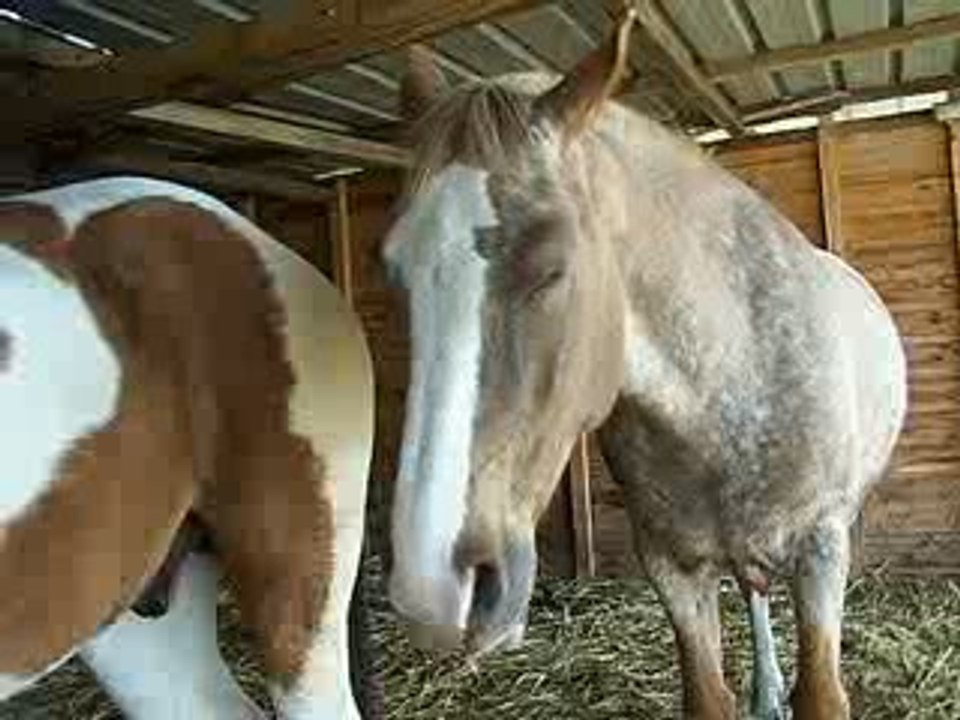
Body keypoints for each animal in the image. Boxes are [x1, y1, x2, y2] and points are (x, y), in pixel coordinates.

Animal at [383, 8, 907, 720]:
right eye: (394, 268)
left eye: (553, 267)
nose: (432, 589)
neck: (732, 377)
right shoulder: (670, 565)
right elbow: (707, 693)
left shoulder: (820, 550)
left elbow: (823, 694)